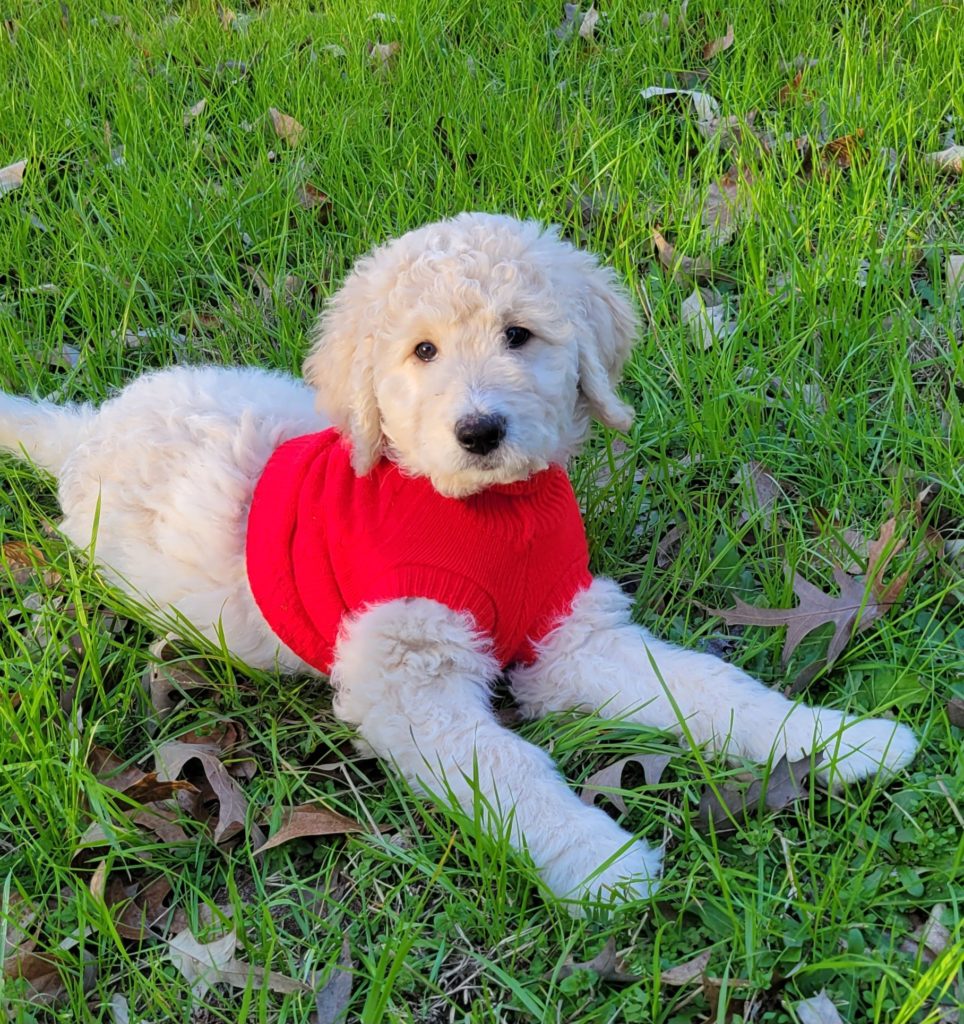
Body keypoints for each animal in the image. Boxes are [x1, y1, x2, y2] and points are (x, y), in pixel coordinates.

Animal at [1, 214, 917, 905]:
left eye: (519, 335)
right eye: (423, 352)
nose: (479, 430)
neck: (486, 513)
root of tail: (88, 429)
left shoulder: (569, 631)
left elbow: (709, 687)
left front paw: (841, 740)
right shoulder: (408, 685)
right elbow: (512, 769)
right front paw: (603, 861)